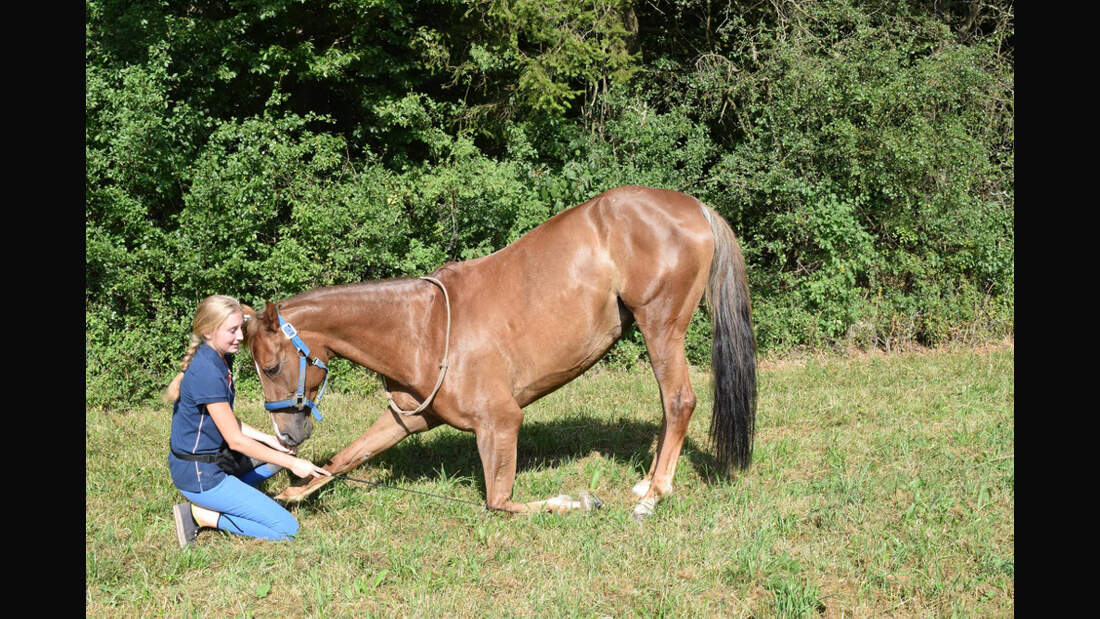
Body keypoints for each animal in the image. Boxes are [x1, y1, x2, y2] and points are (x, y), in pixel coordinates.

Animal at [242, 183, 756, 518]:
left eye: (271, 365)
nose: (286, 435)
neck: (425, 330)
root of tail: (695, 207)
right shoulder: (405, 419)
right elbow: (346, 458)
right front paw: (292, 490)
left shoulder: (501, 423)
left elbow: (501, 502)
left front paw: (578, 500)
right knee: (670, 407)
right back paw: (648, 482)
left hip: (660, 325)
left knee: (679, 401)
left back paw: (655, 494)